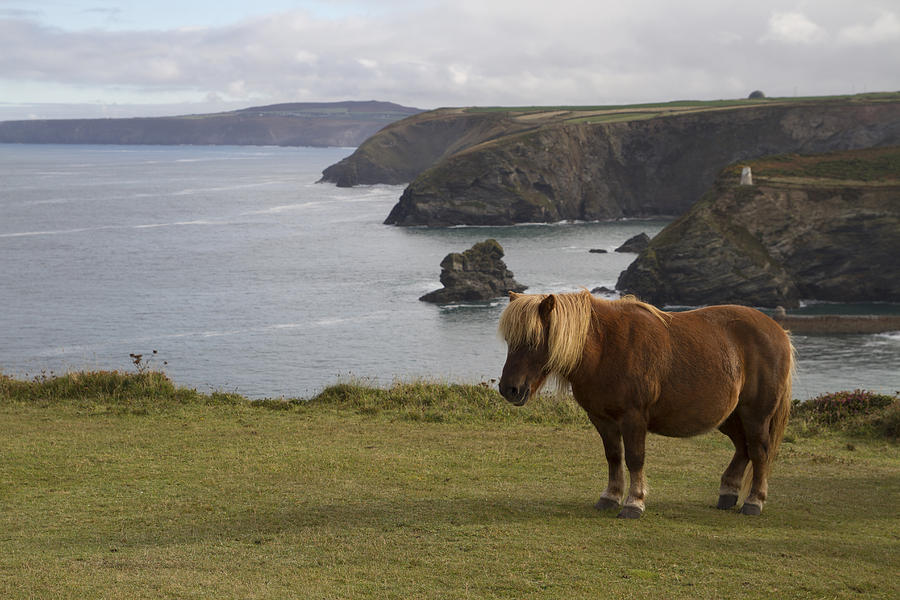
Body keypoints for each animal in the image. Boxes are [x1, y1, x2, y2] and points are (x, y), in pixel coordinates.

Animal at [500, 292, 796, 520]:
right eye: (509, 341)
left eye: (533, 340)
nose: (509, 389)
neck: (606, 347)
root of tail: (778, 331)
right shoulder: (602, 419)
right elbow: (613, 456)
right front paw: (610, 497)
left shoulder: (633, 418)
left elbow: (634, 458)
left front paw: (634, 503)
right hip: (730, 417)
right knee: (743, 448)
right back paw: (728, 493)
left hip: (755, 415)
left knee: (758, 451)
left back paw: (754, 501)